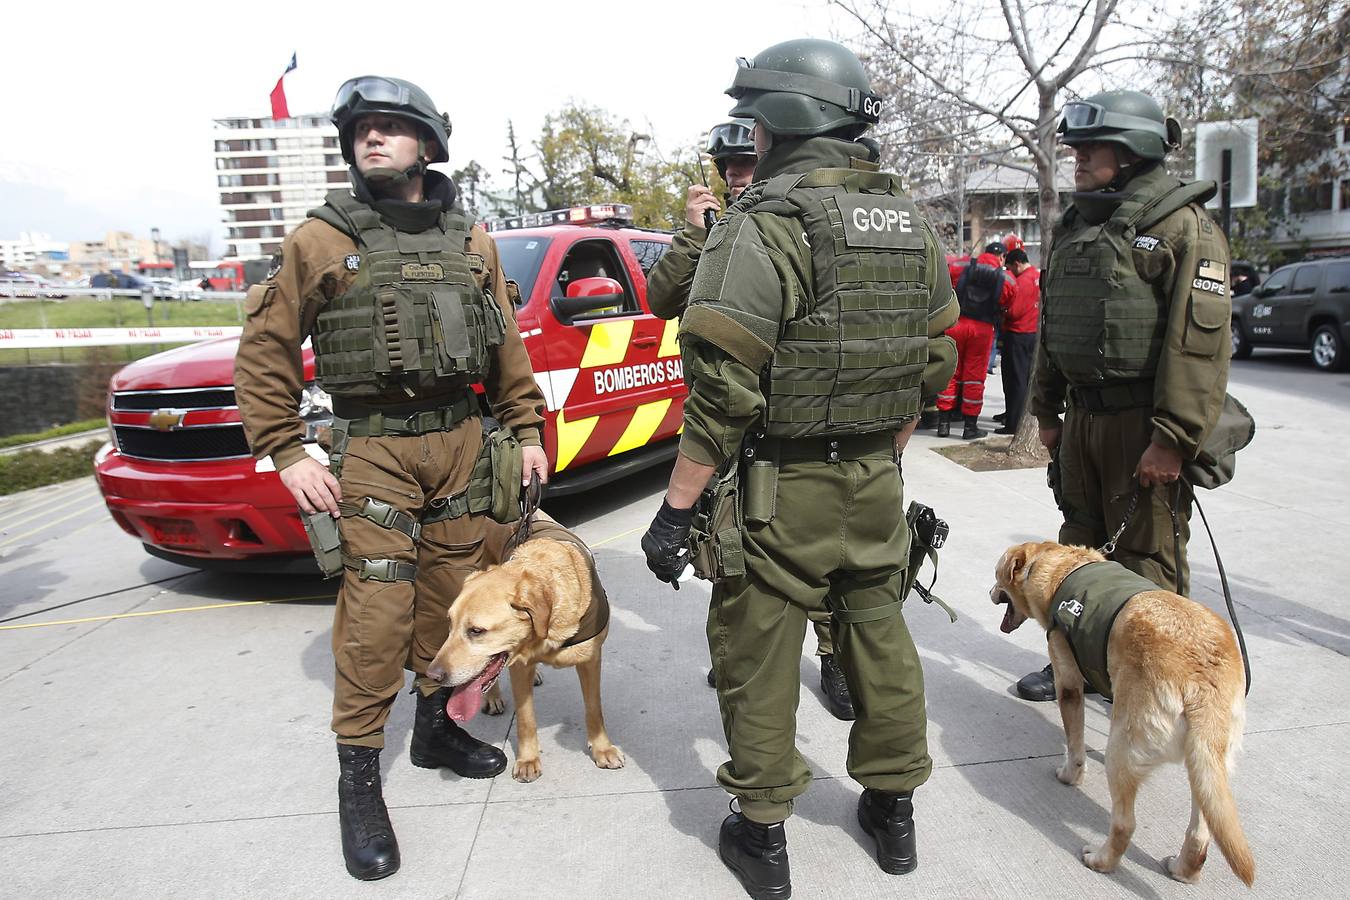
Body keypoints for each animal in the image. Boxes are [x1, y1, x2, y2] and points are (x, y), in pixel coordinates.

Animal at [426, 534, 621, 782]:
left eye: (476, 631)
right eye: (449, 624)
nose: (431, 675)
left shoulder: (591, 660)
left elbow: (594, 708)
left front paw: (602, 748)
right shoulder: (518, 667)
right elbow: (526, 719)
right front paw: (528, 760)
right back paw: (493, 697)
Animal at [982, 542, 1252, 885]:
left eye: (997, 576)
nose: (989, 591)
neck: (1058, 569)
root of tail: (1202, 678)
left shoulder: (1068, 681)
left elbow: (1075, 745)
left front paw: (1070, 775)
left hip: (1123, 748)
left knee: (1125, 824)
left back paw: (1101, 859)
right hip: (1208, 765)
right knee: (1200, 833)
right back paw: (1183, 869)